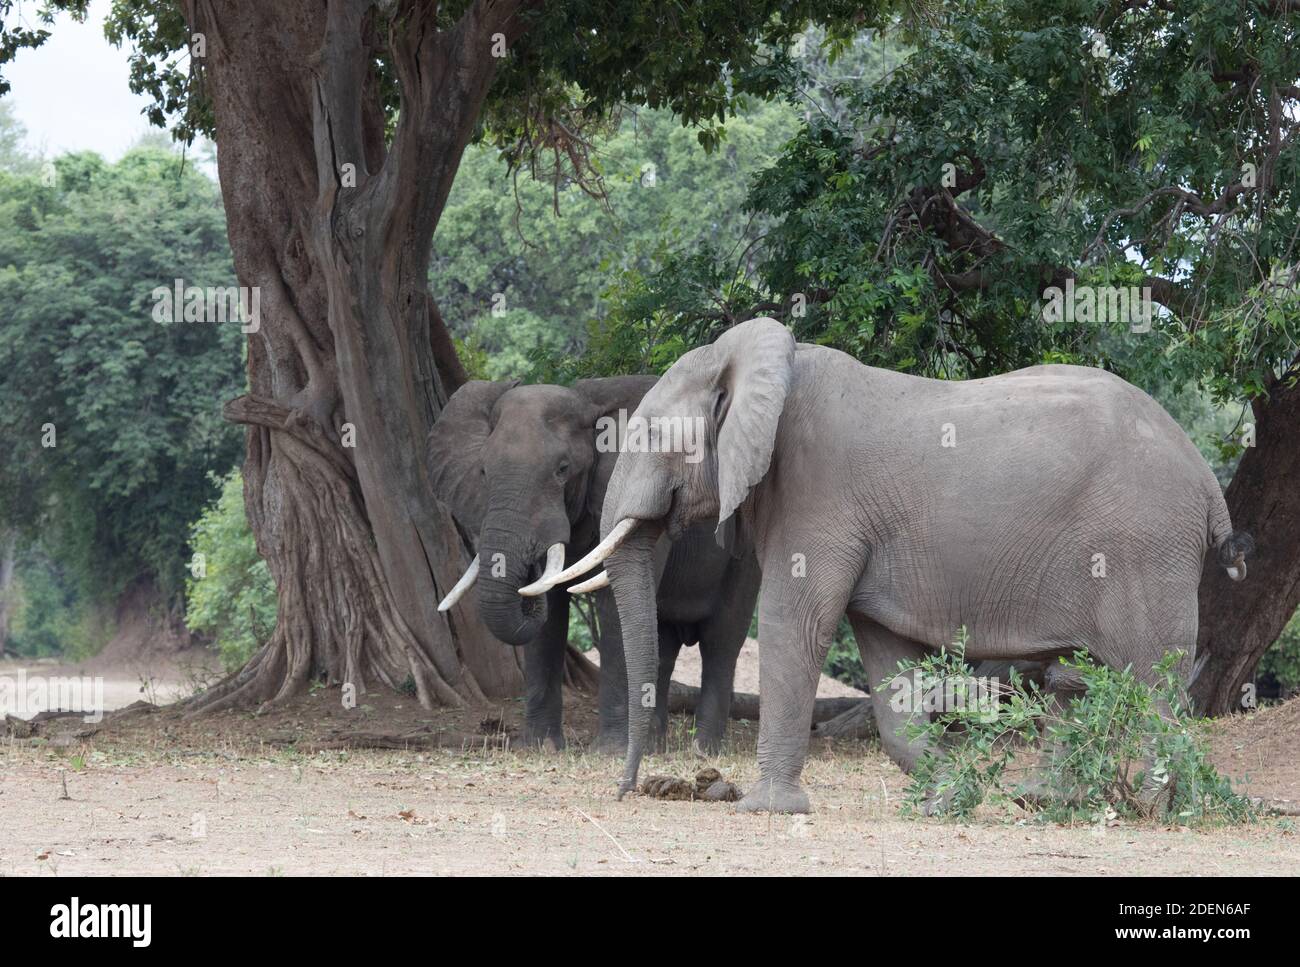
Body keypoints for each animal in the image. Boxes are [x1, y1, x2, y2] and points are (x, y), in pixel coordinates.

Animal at [556, 321, 1248, 811]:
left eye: (650, 437)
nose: (627, 790)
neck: (760, 361)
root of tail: (1208, 483)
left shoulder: (818, 496)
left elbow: (794, 622)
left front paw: (765, 808)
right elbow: (886, 654)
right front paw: (945, 797)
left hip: (1145, 549)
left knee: (1153, 680)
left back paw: (1152, 805)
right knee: (1077, 678)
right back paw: (1048, 801)